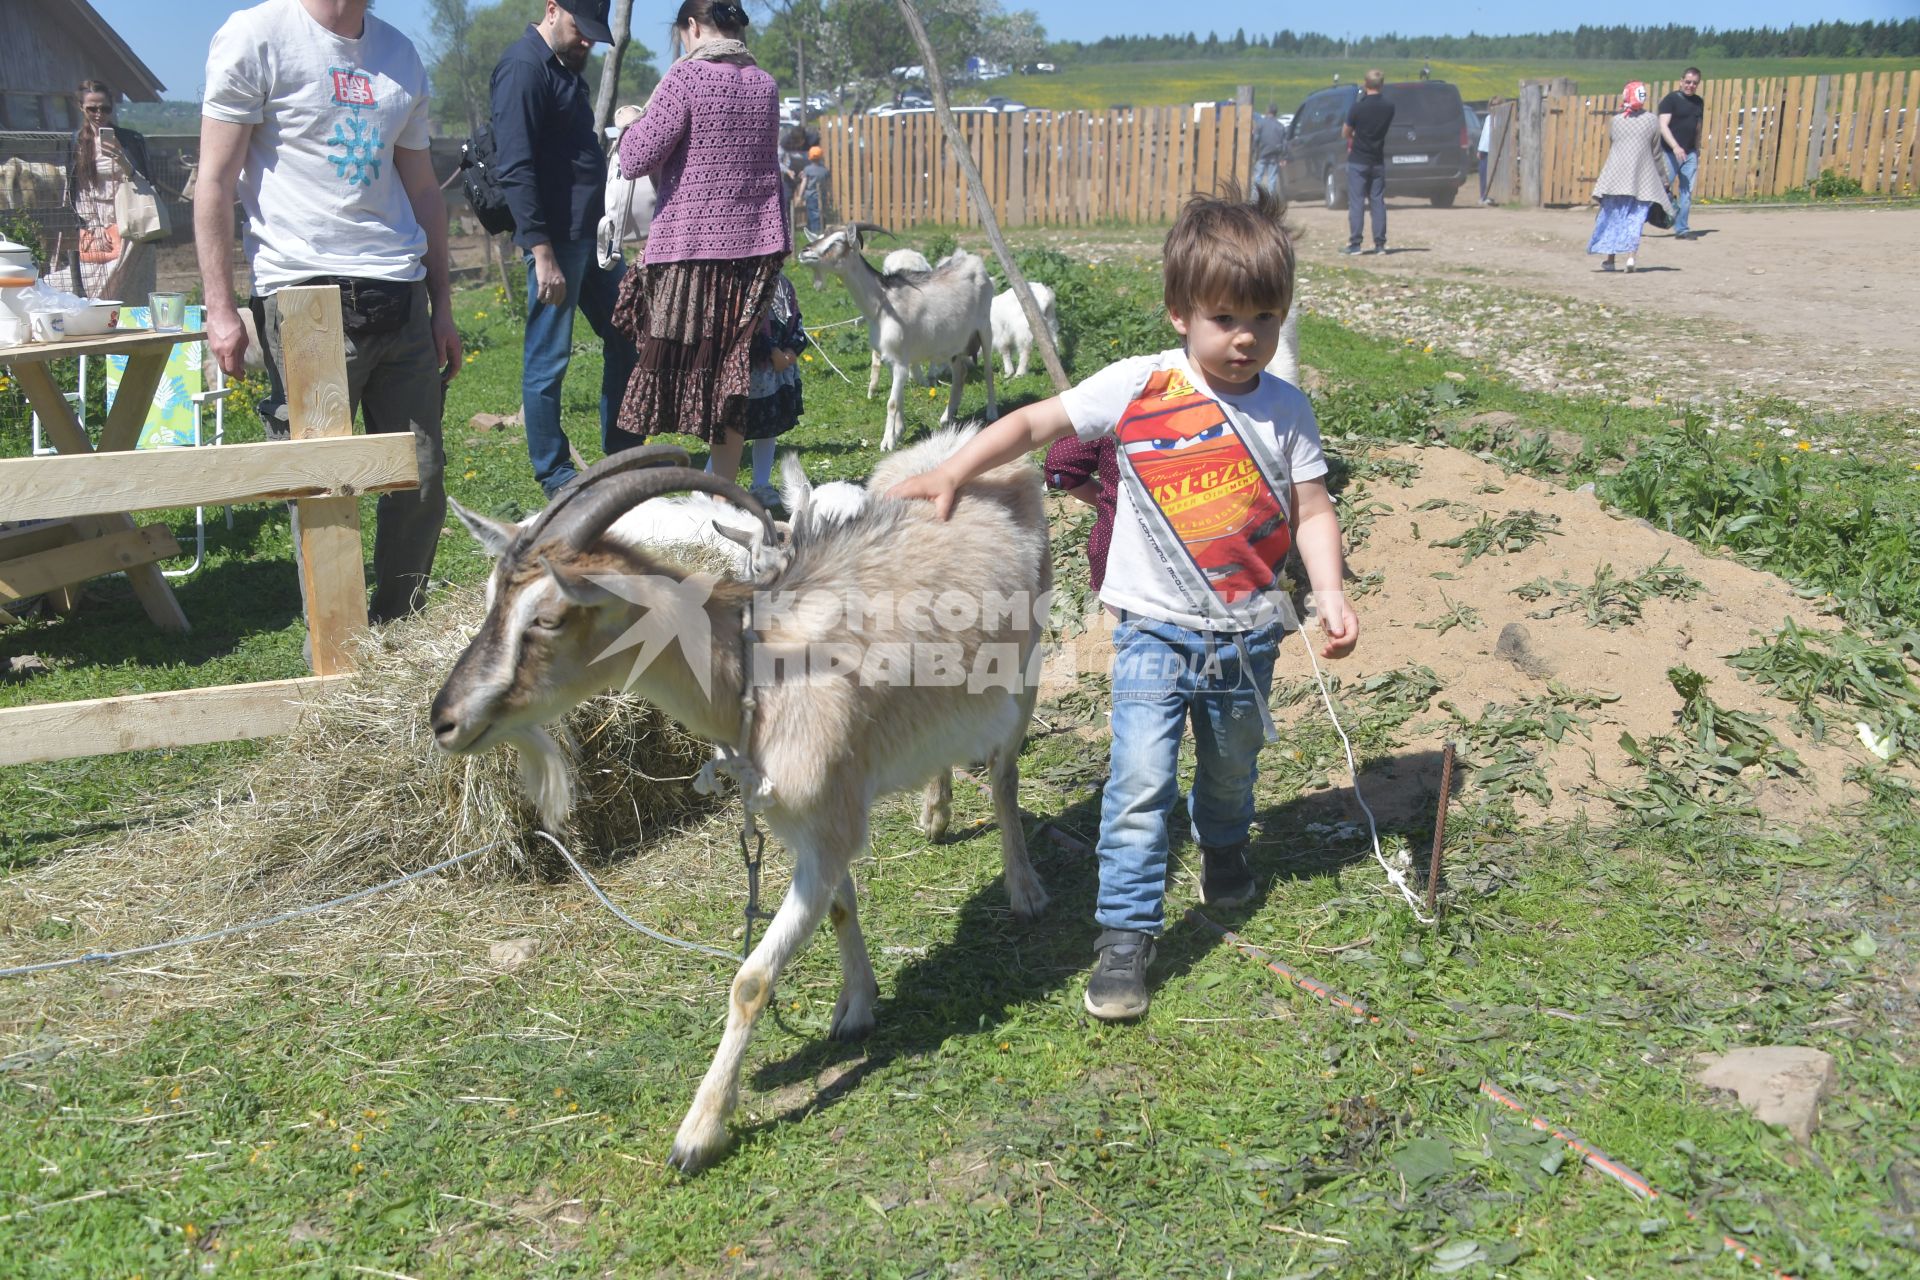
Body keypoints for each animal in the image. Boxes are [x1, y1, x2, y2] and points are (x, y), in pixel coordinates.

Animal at [428, 437, 1052, 1174]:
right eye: (490, 602)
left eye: (548, 619)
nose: (444, 721)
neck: (762, 676)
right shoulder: (811, 822)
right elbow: (841, 907)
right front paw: (857, 1008)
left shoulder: (829, 825)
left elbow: (750, 982)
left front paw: (698, 1132)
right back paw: (935, 811)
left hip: (1026, 668)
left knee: (1007, 774)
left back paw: (1025, 887)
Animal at [798, 225, 998, 450]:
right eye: (820, 236)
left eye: (838, 241)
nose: (804, 251)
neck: (883, 303)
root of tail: (973, 261)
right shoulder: (890, 359)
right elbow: (899, 398)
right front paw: (899, 433)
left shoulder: (900, 360)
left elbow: (892, 402)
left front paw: (887, 442)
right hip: (954, 343)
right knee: (960, 374)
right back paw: (947, 417)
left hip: (984, 328)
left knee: (988, 371)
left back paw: (992, 413)